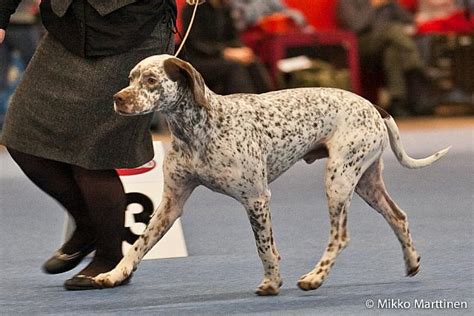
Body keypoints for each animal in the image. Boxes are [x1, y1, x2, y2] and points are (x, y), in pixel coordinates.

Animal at [93, 55, 452, 296]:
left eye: (152, 80)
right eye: (131, 77)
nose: (118, 99)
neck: (198, 129)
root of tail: (372, 104)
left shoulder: (256, 199)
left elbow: (264, 247)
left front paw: (271, 282)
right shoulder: (171, 203)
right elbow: (138, 245)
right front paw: (114, 275)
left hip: (338, 180)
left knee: (340, 236)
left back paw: (315, 277)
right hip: (365, 182)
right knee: (399, 217)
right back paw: (411, 262)